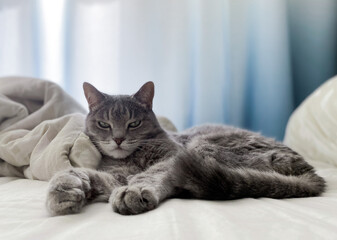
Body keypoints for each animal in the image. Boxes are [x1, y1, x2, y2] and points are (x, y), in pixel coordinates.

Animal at [46, 82, 324, 216]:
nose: (118, 139)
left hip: (204, 148)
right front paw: (64, 190)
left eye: (133, 123)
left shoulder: (171, 158)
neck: (132, 159)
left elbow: (150, 175)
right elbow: (84, 174)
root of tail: (311, 172)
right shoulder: (115, 175)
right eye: (104, 124)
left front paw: (133, 191)